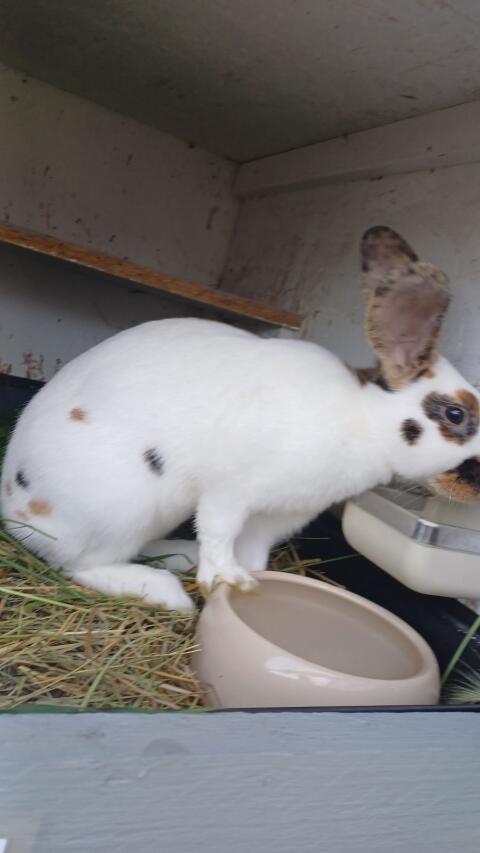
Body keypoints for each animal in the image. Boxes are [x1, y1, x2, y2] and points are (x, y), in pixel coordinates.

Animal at [3, 225, 480, 612]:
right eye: (455, 413)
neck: (363, 419)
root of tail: (17, 513)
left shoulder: (281, 515)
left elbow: (253, 549)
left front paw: (248, 577)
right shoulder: (230, 488)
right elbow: (219, 531)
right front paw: (225, 577)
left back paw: (180, 555)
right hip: (122, 507)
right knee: (83, 565)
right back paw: (167, 592)